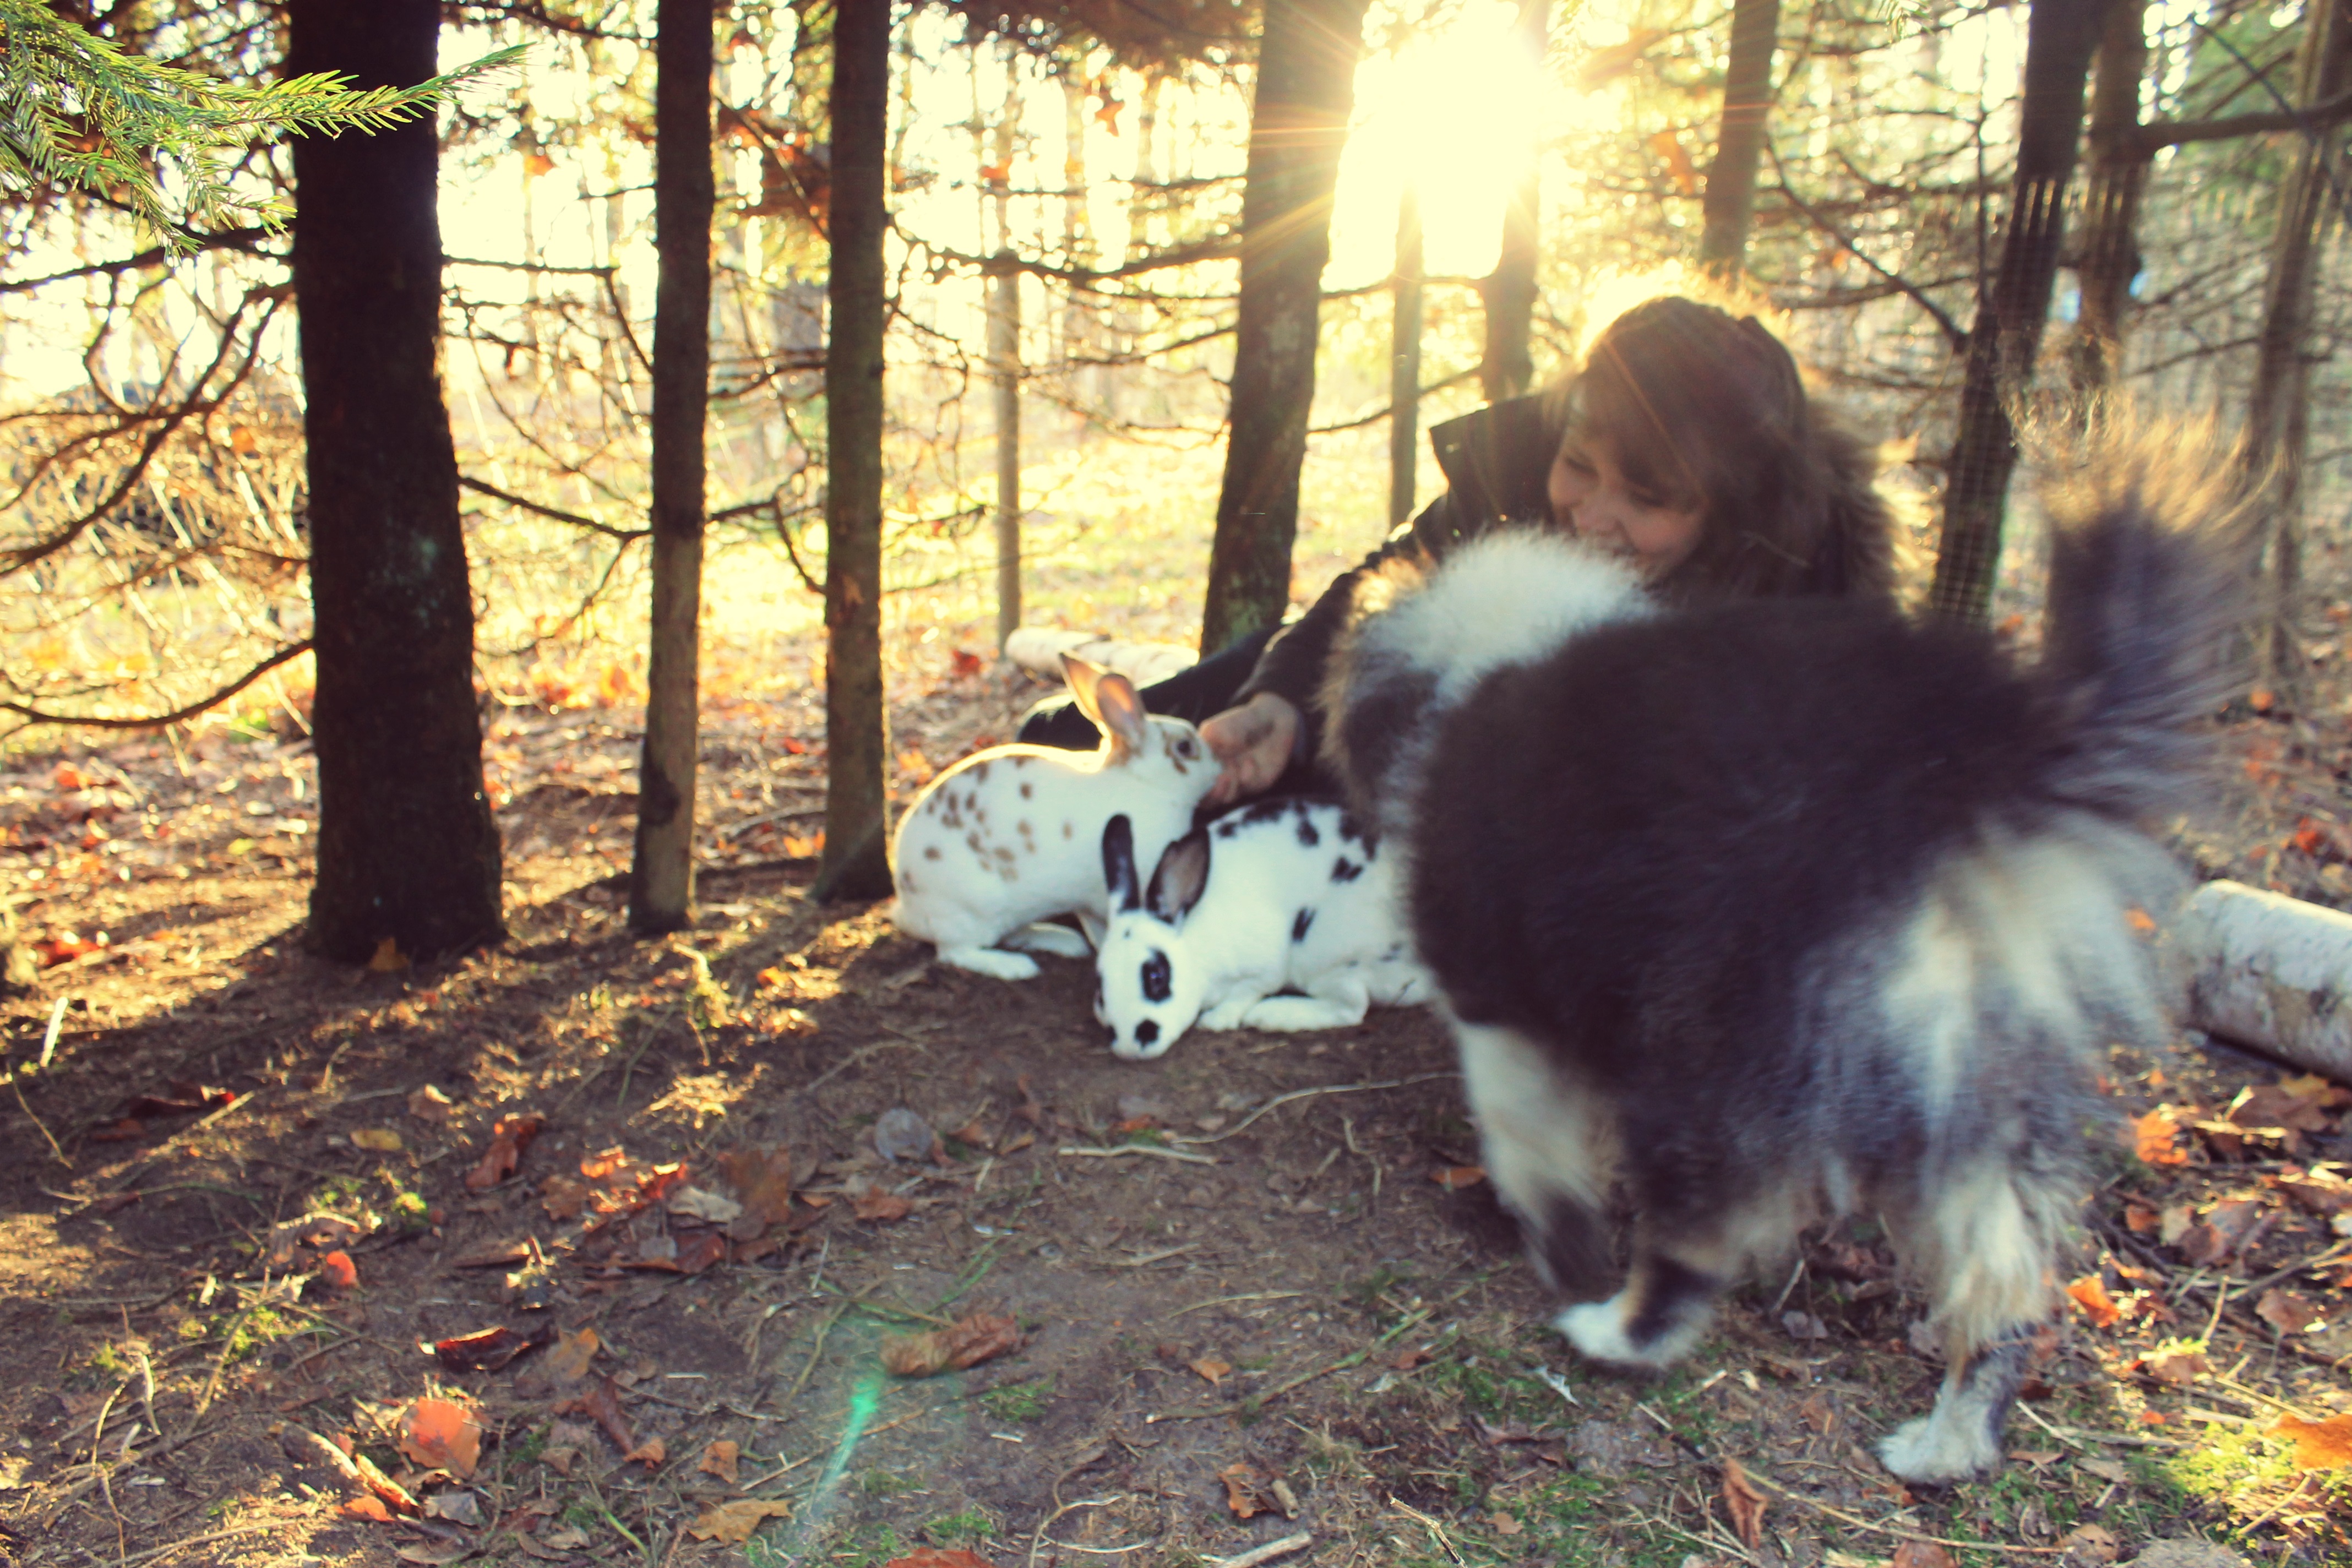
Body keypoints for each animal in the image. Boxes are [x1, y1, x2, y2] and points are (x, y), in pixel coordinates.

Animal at [891, 653, 1220, 981]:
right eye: (1185, 747)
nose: (1218, 765)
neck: (1145, 782)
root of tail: (909, 906)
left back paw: (1065, 942)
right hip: (975, 908)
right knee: (956, 952)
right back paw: (1016, 967)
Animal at [1094, 797, 1432, 1060]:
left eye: (1157, 976)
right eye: (1100, 986)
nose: (1129, 1046)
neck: (1193, 943)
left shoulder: (1267, 966)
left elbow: (1248, 990)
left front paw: (1216, 1020)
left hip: (1322, 954)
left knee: (1352, 1006)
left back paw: (1271, 1015)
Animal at [1318, 443, 2242, 1483]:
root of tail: (1948, 773)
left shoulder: (1497, 991)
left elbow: (1526, 1134)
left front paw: (1557, 1239)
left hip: (1712, 1038)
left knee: (1698, 1226)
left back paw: (1619, 1332)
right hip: (1968, 1058)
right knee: (2002, 1267)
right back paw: (1949, 1442)